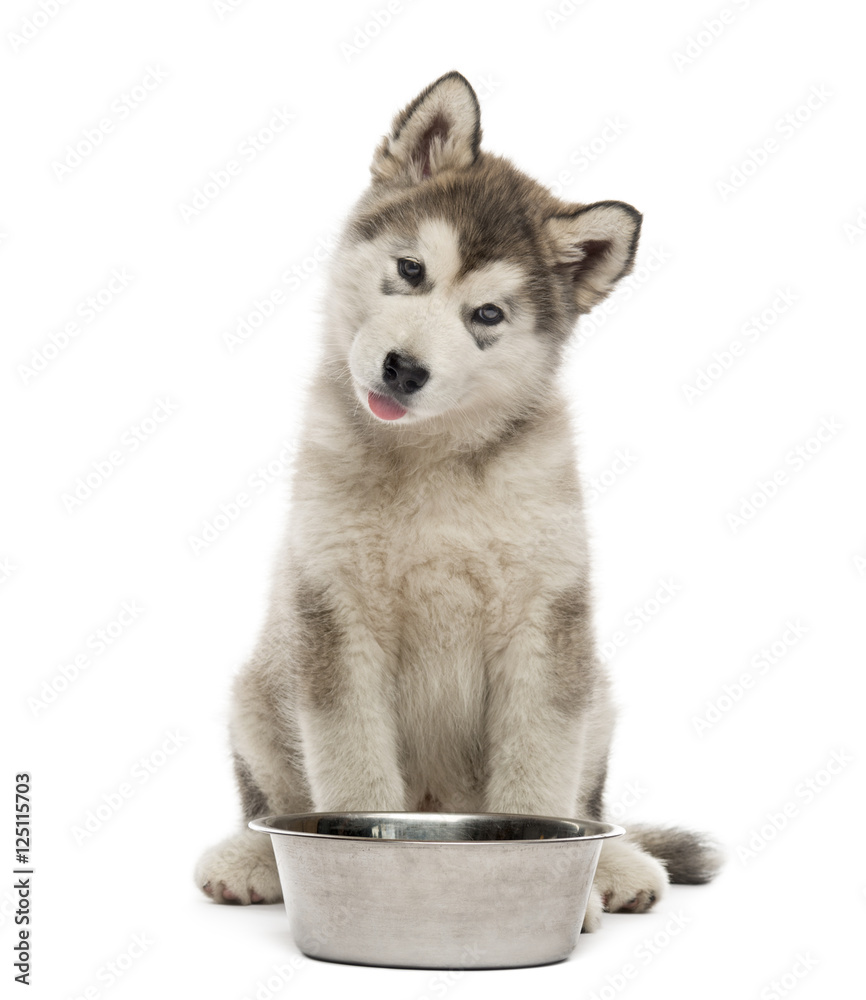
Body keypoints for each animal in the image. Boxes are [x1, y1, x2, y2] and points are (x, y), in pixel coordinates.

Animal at [199, 70, 720, 928]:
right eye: (411, 270)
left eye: (487, 315)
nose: (403, 368)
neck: (434, 463)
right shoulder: (335, 618)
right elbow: (352, 774)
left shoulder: (545, 624)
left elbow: (543, 781)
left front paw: (572, 887)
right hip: (260, 686)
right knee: (265, 799)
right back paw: (249, 858)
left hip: (598, 692)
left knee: (593, 799)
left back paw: (619, 865)